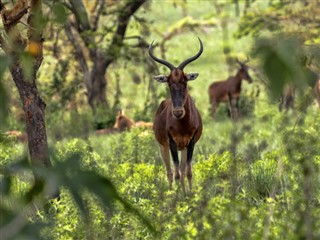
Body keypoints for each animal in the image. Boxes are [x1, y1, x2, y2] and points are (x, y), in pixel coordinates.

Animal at [149, 38, 204, 195]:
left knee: (182, 170)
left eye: (185, 81)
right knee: (169, 172)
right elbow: (176, 174)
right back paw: (171, 193)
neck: (182, 124)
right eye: (169, 82)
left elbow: (188, 172)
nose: (178, 112)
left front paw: (189, 194)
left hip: (183, 148)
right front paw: (178, 196)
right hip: (163, 146)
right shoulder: (172, 143)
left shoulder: (191, 143)